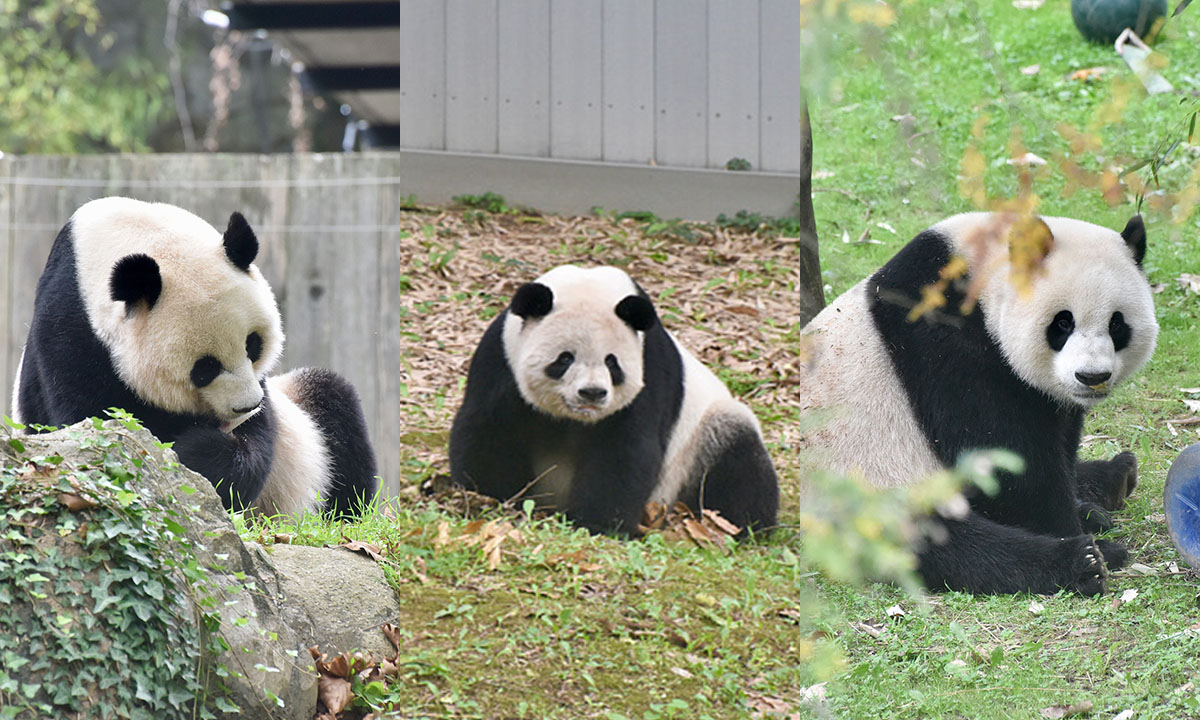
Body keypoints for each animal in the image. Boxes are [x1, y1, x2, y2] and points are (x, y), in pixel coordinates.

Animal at [9, 195, 374, 518]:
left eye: (252, 345)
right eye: (205, 368)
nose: (246, 406)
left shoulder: (264, 392)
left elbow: (256, 448)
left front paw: (197, 450)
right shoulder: (70, 336)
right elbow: (94, 422)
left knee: (336, 411)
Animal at [451, 264, 777, 535]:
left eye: (612, 362)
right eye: (565, 358)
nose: (592, 393)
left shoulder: (649, 369)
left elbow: (625, 448)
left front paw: (598, 523)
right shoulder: (500, 359)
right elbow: (491, 430)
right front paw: (486, 496)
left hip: (697, 444)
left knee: (738, 463)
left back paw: (744, 525)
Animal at [792, 212, 1156, 595]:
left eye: (1117, 323)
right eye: (1063, 322)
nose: (1092, 376)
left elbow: (1056, 442)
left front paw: (1083, 507)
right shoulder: (945, 339)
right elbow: (1004, 461)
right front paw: (1076, 533)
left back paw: (1113, 479)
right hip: (867, 490)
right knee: (948, 547)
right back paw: (1083, 561)